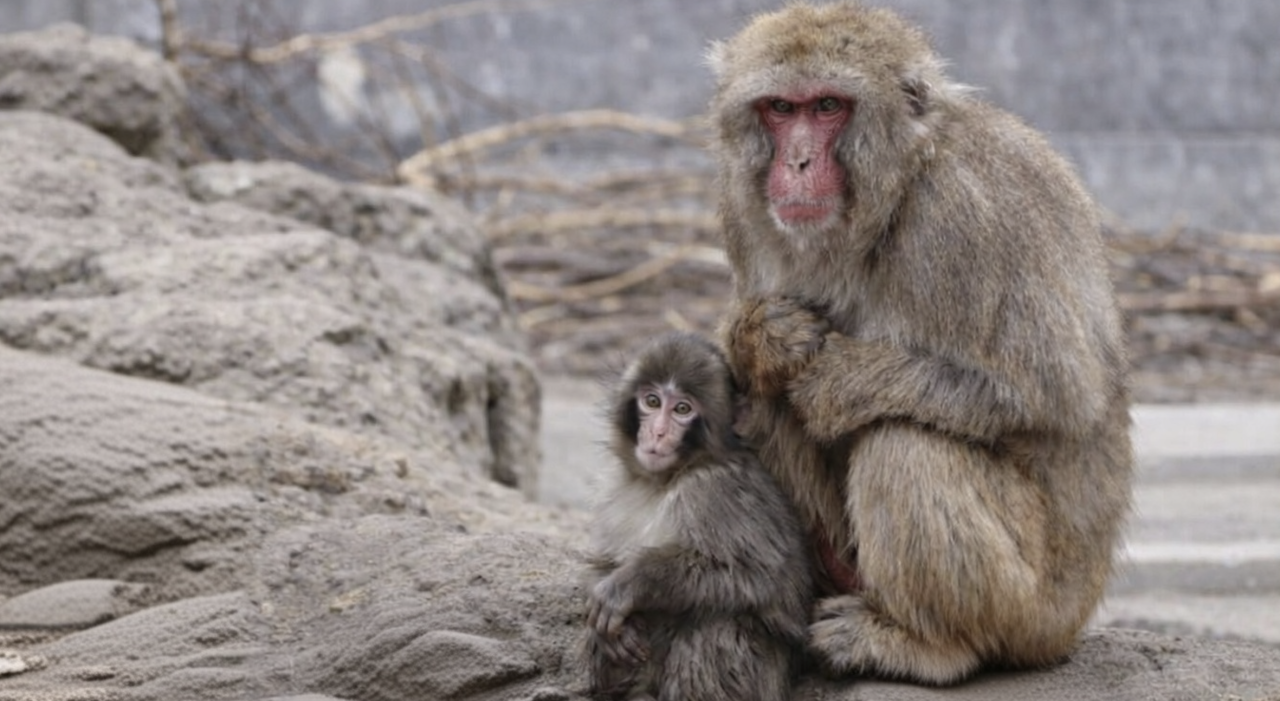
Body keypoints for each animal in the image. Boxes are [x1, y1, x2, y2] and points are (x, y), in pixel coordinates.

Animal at [583, 331, 812, 701]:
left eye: (682, 409)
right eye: (651, 401)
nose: (658, 433)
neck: (665, 480)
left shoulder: (712, 491)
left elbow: (754, 574)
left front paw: (630, 583)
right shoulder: (614, 486)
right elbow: (601, 561)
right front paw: (605, 597)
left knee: (717, 620)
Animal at [706, 2, 1134, 685]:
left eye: (828, 106)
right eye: (780, 108)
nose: (796, 164)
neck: (896, 188)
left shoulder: (962, 213)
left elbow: (1053, 396)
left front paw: (837, 380)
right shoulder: (738, 202)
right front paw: (761, 337)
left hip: (1033, 609)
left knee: (905, 443)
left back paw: (928, 644)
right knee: (756, 399)